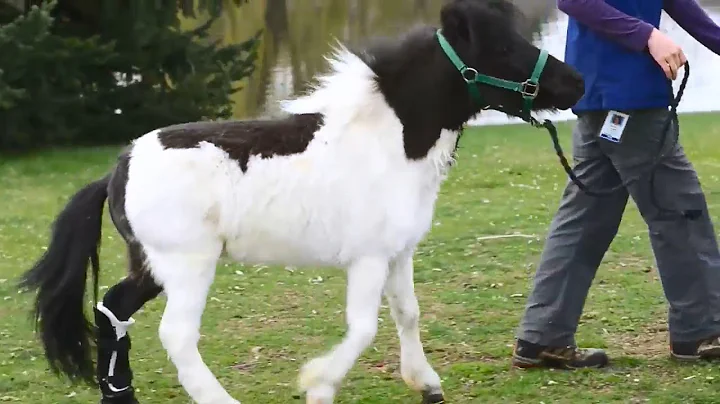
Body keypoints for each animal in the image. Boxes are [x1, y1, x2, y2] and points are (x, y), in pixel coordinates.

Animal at [18, 0, 584, 404]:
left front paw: (426, 385)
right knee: (176, 335)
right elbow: (364, 328)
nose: (576, 84)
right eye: (502, 49)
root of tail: (118, 168)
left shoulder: (398, 252)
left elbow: (408, 314)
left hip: (152, 266)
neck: (389, 143)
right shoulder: (368, 259)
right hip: (187, 266)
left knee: (112, 308)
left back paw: (121, 395)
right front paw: (318, 385)